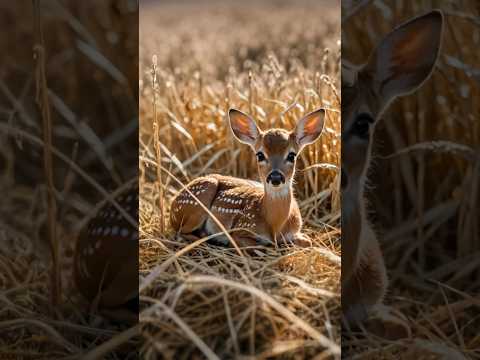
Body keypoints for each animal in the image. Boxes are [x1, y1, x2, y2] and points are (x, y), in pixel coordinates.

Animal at [170, 107, 326, 248]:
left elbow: (308, 241)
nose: (275, 177)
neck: (275, 226)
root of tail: (172, 206)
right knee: (179, 233)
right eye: (260, 155)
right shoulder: (241, 228)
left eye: (292, 155)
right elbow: (258, 246)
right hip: (198, 199)